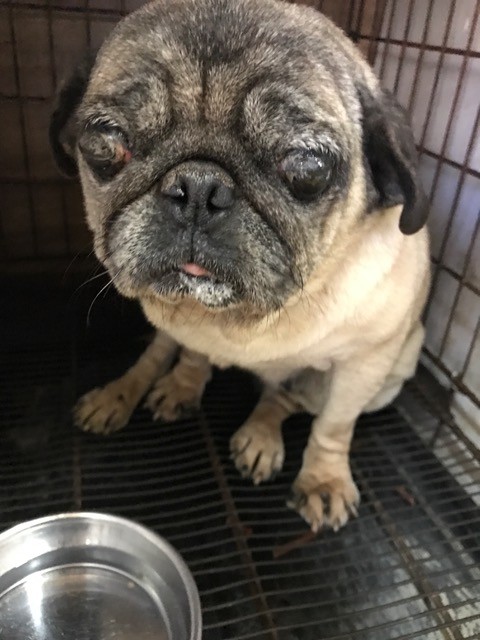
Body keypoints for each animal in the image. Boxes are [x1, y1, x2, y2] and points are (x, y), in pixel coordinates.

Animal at [50, 0, 430, 532]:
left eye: (307, 168)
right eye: (105, 143)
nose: (198, 187)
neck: (248, 319)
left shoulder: (367, 362)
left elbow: (334, 426)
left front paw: (324, 479)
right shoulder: (187, 326)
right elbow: (190, 354)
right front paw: (183, 383)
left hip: (391, 375)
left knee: (286, 399)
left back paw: (261, 436)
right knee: (156, 355)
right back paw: (121, 394)